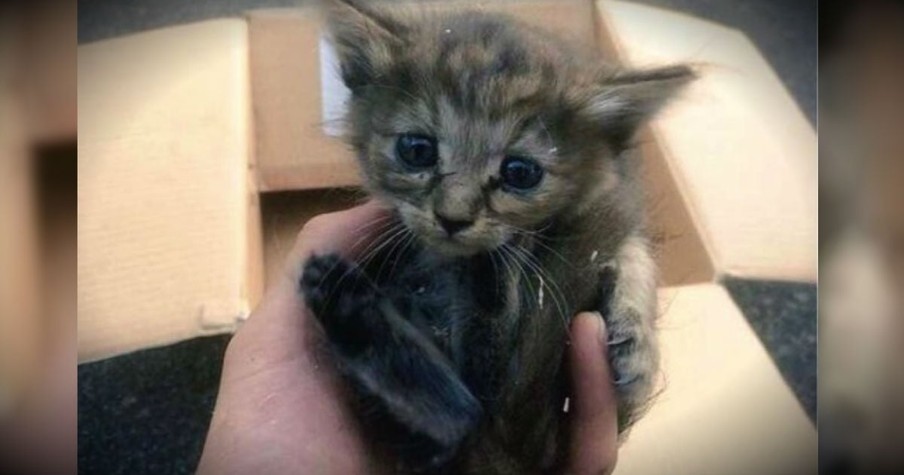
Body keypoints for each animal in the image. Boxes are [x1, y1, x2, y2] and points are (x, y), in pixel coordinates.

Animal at [300, 0, 696, 472]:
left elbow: (634, 252)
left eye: (520, 173)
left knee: (466, 412)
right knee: (460, 417)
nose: (453, 218)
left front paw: (638, 347)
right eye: (417, 150)